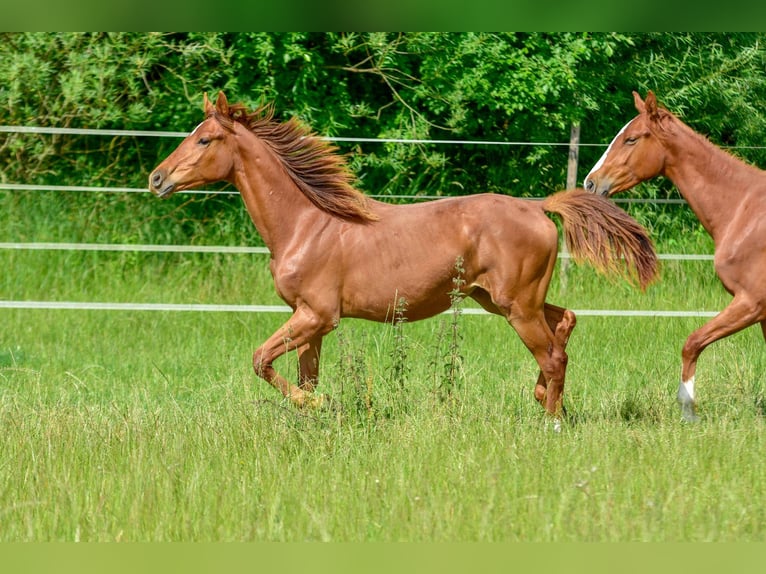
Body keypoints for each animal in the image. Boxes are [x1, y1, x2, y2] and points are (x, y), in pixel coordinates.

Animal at [149, 91, 658, 419]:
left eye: (204, 140)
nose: (157, 178)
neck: (305, 225)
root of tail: (537, 207)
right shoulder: (308, 320)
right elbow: (304, 374)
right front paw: (314, 414)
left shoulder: (316, 316)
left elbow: (260, 360)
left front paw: (321, 406)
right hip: (501, 300)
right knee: (564, 325)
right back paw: (549, 402)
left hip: (516, 305)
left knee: (552, 355)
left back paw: (550, 422)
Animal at [584, 90, 766, 421]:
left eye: (631, 139)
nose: (591, 182)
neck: (743, 209)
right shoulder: (762, 312)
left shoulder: (751, 302)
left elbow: (691, 343)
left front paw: (688, 410)